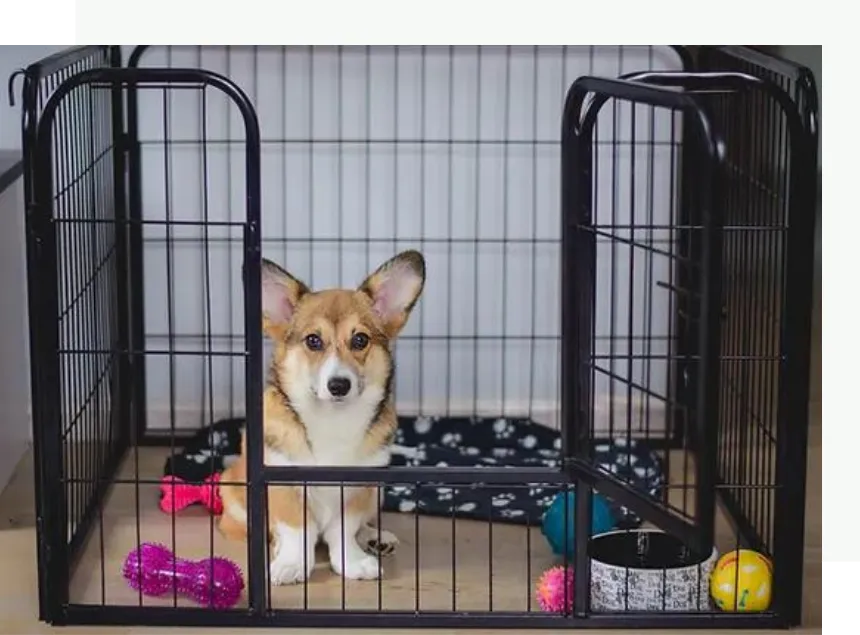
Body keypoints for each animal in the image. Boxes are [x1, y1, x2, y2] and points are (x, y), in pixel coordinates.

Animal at [218, 250, 426, 588]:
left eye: (360, 340)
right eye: (313, 341)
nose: (339, 385)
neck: (333, 420)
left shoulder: (359, 488)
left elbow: (344, 531)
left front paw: (353, 562)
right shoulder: (283, 484)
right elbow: (296, 530)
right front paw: (290, 564)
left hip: (378, 492)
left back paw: (375, 538)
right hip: (234, 497)